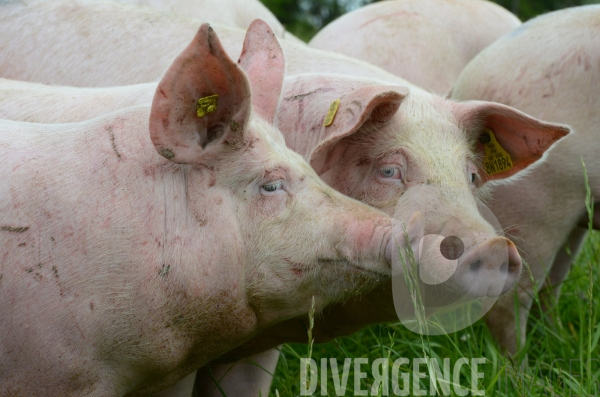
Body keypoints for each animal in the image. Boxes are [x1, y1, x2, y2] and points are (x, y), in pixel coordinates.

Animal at [450, 4, 600, 352]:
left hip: (573, 209)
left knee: (550, 287)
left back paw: (561, 343)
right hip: (536, 202)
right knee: (509, 301)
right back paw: (524, 367)